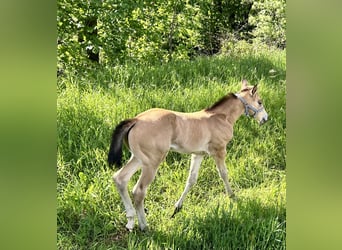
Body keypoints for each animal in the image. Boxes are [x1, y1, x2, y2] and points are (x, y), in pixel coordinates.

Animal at [108, 79, 268, 230]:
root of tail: (136, 120)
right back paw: (143, 226)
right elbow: (223, 174)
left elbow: (191, 179)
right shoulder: (219, 150)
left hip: (138, 158)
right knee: (138, 191)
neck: (222, 117)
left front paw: (177, 208)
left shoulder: (198, 154)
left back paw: (130, 221)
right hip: (152, 162)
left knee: (120, 179)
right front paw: (233, 197)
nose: (265, 118)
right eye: (260, 102)